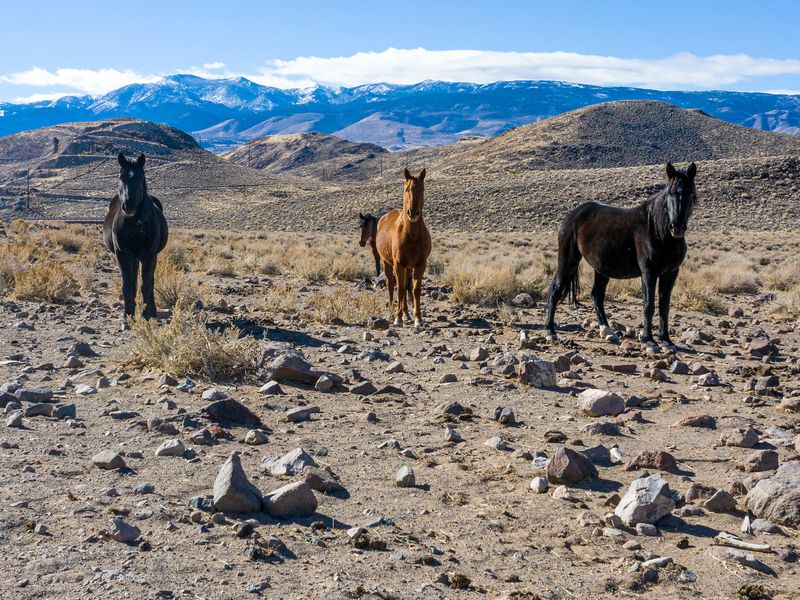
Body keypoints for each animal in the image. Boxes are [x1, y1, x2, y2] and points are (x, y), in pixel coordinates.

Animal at [103, 152, 169, 327]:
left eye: (141, 178)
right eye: (121, 177)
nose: (129, 206)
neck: (134, 224)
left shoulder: (149, 255)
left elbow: (146, 285)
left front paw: (146, 316)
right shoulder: (122, 254)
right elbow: (127, 285)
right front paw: (127, 318)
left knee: (150, 281)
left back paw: (153, 312)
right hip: (133, 258)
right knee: (133, 282)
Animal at [375, 168, 432, 328]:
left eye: (422, 189)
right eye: (407, 189)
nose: (412, 212)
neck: (411, 236)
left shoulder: (420, 264)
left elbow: (415, 289)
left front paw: (418, 318)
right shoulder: (398, 264)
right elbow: (399, 288)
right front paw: (398, 318)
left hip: (408, 267)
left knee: (407, 286)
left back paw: (407, 313)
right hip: (387, 263)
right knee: (390, 284)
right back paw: (392, 311)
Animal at [544, 162, 697, 353]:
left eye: (691, 193)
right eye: (670, 193)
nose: (676, 227)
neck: (657, 230)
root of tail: (571, 215)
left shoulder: (671, 273)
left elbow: (664, 306)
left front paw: (667, 341)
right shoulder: (649, 272)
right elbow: (649, 305)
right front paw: (650, 341)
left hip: (601, 268)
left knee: (596, 296)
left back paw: (608, 332)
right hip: (568, 261)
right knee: (555, 290)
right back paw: (550, 332)